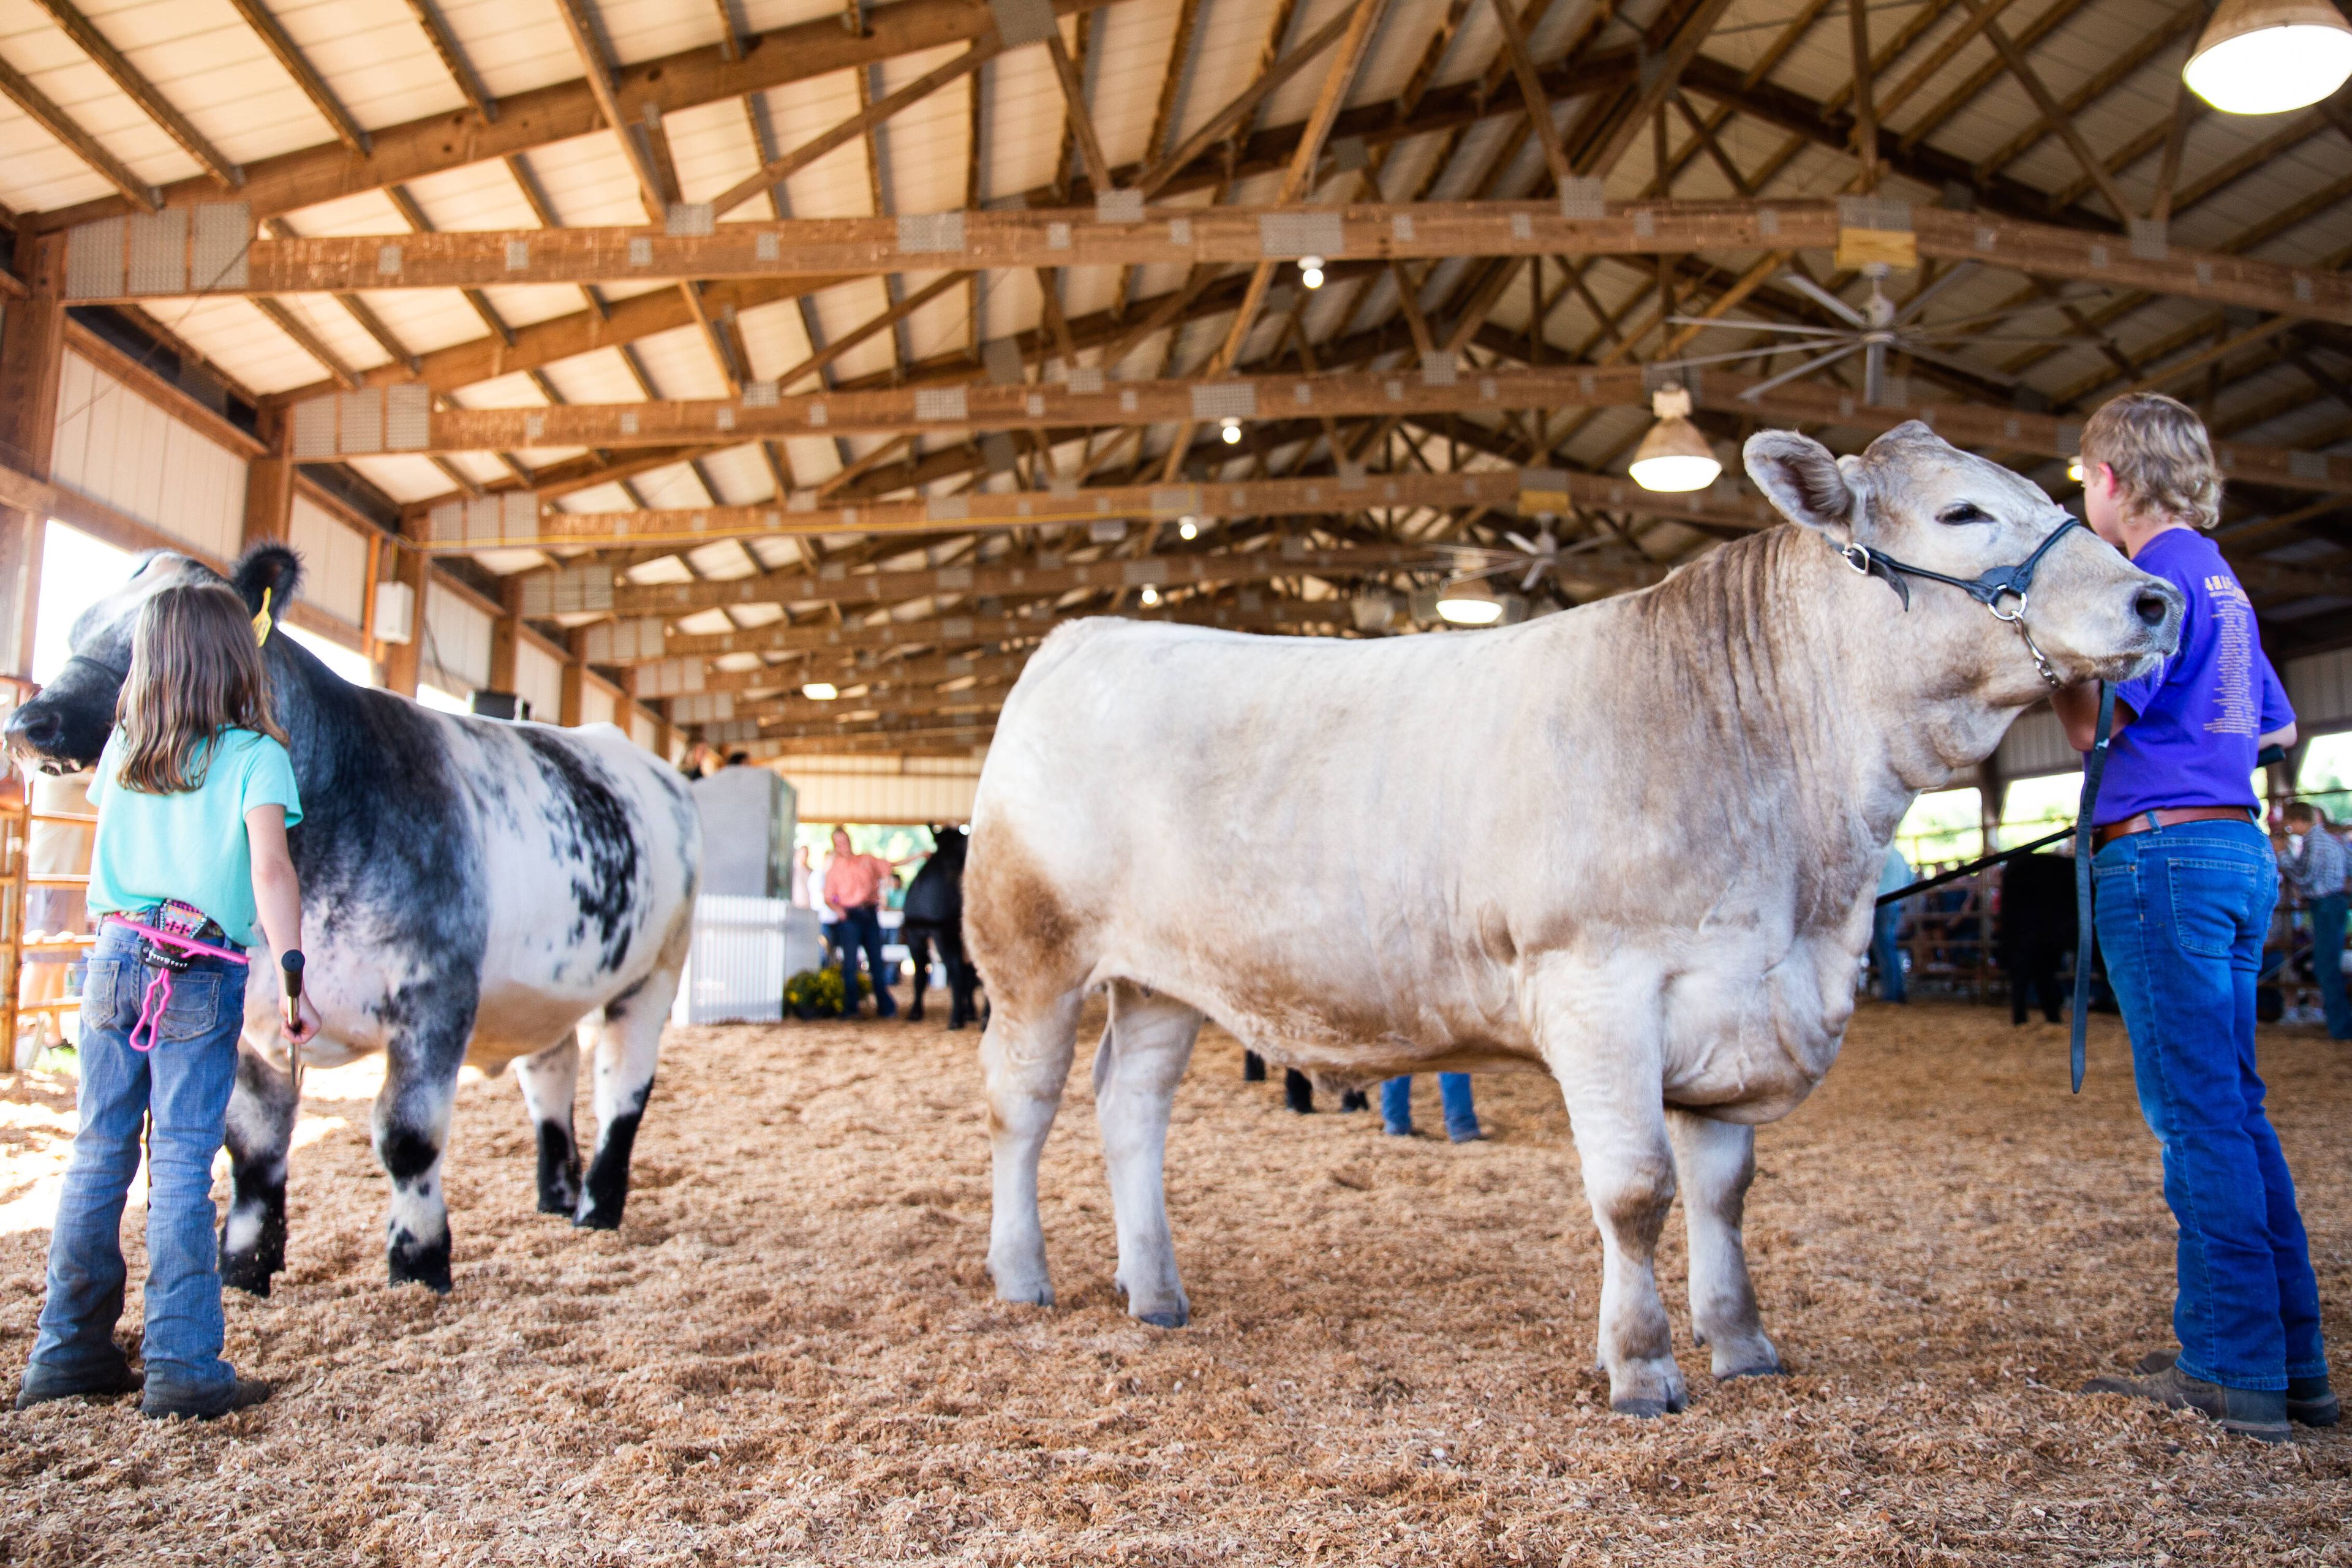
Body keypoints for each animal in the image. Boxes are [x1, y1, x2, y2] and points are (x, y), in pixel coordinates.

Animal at [11, 545, 706, 1297]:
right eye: (76, 629)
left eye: (149, 639)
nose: (29, 724)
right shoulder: (243, 1015)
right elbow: (252, 1144)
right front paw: (244, 1267)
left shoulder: (434, 997)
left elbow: (407, 1138)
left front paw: (419, 1262)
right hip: (539, 991)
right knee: (552, 1071)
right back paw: (556, 1195)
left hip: (656, 970)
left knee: (622, 1086)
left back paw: (597, 1209)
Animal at [894, 823, 978, 1030]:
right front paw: (969, 1012)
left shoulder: (917, 936)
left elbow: (920, 977)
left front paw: (915, 1012)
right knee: (969, 976)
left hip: (943, 936)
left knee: (956, 972)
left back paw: (955, 1019)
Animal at [964, 423, 2173, 1420]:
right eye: (1962, 514)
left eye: (2044, 489)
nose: (2155, 600)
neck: (1805, 883)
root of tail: (1080, 638)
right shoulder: (1600, 990)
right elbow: (1636, 1192)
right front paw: (1641, 1367)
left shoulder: (1734, 1002)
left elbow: (1724, 1193)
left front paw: (1745, 1346)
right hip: (1031, 955)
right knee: (1023, 1111)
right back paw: (1024, 1278)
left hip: (1162, 979)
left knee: (1130, 1108)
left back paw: (1155, 1290)